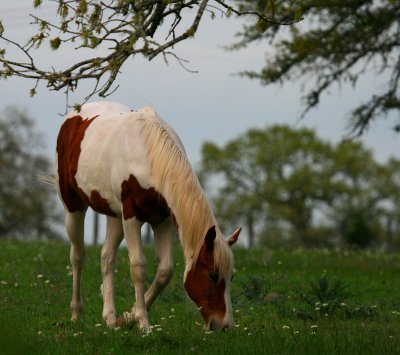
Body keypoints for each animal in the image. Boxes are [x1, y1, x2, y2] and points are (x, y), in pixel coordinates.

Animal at [55, 101, 241, 332]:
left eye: (231, 276)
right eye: (212, 274)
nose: (225, 325)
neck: (148, 156)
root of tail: (76, 113)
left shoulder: (163, 221)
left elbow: (165, 271)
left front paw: (128, 316)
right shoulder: (132, 217)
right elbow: (138, 267)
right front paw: (143, 322)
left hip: (114, 216)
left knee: (107, 256)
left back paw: (110, 317)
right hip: (74, 208)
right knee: (78, 256)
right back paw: (76, 313)